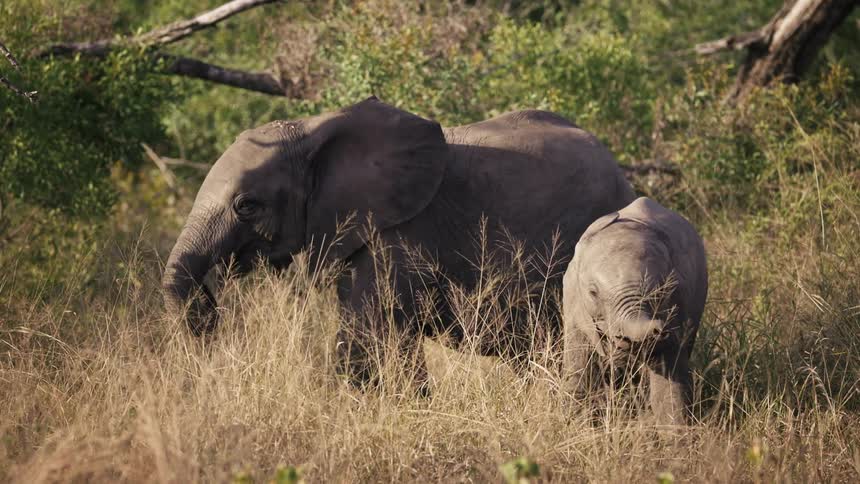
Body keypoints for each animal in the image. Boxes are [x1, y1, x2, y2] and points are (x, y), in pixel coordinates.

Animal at [562, 196, 708, 424]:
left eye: (662, 291)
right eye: (593, 293)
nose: (658, 329)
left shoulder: (679, 300)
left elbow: (668, 380)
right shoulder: (574, 304)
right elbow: (578, 369)